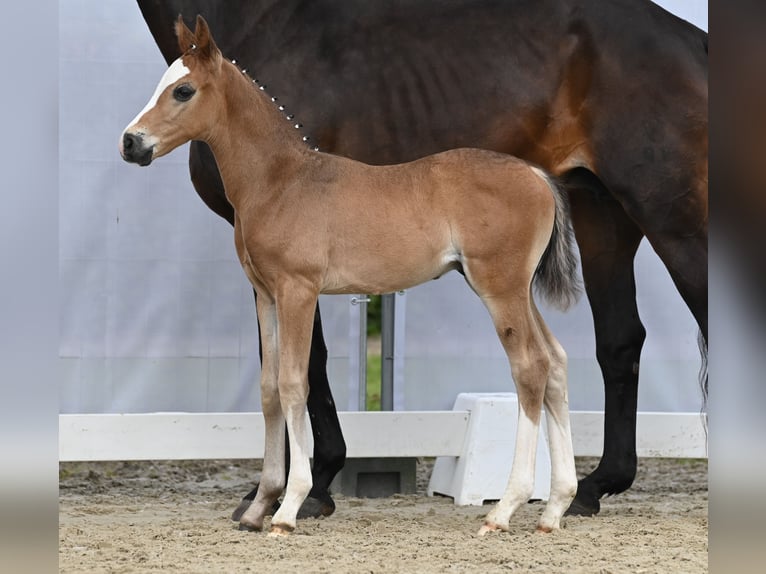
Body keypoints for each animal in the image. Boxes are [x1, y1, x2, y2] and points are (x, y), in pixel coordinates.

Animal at [136, 0, 708, 520]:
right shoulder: (265, 293)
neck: (285, 178)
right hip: (551, 262)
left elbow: (298, 379)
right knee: (571, 357)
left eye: (183, 90)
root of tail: (536, 175)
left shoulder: (299, 289)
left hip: (575, 259)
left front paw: (297, 500)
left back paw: (508, 508)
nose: (131, 143)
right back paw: (564, 501)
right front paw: (260, 504)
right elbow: (270, 386)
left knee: (533, 367)